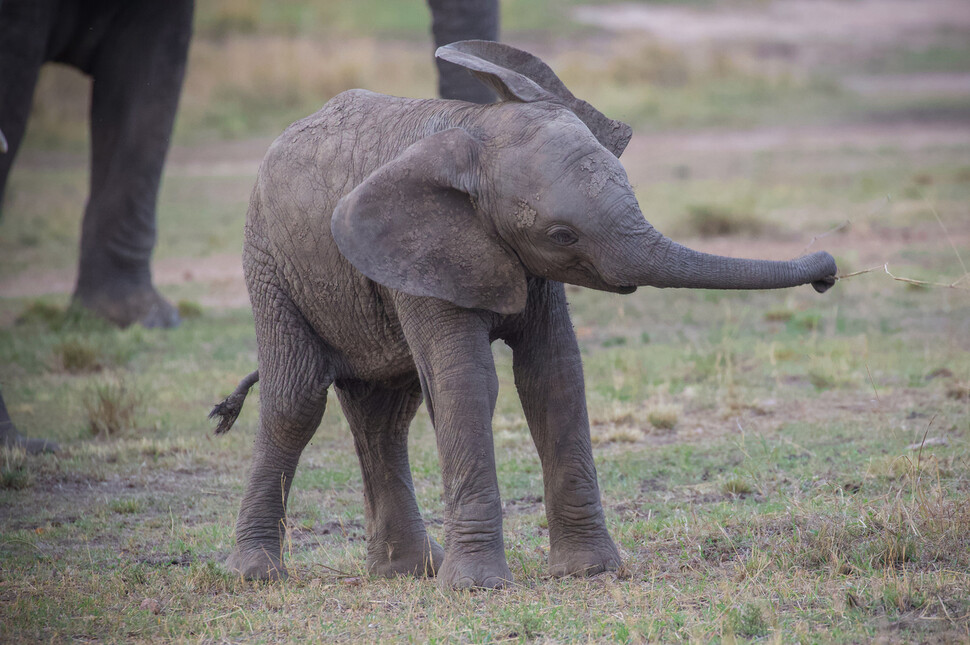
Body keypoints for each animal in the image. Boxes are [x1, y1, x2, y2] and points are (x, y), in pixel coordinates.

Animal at [212, 41, 832, 588]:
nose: (827, 268)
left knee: (385, 413)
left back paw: (409, 571)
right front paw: (477, 587)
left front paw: (588, 573)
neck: (476, 126)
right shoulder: (423, 253)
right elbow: (467, 383)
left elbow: (553, 377)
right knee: (296, 401)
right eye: (561, 234)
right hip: (268, 263)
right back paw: (257, 575)